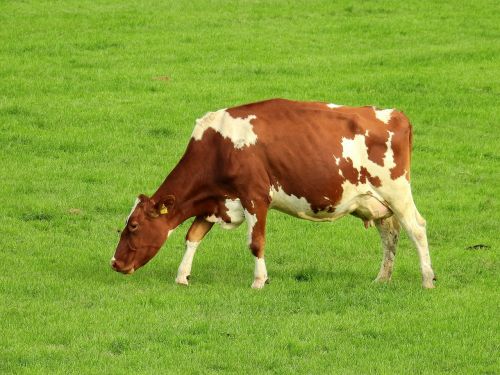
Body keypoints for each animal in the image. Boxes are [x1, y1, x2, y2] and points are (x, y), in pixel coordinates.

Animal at [111, 98, 436, 290]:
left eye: (134, 226)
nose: (115, 263)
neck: (218, 145)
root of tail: (394, 114)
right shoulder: (217, 202)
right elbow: (193, 236)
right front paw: (182, 276)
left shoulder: (255, 197)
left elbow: (256, 243)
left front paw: (259, 280)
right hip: (376, 203)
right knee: (390, 235)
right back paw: (382, 278)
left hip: (397, 192)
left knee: (417, 229)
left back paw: (427, 279)